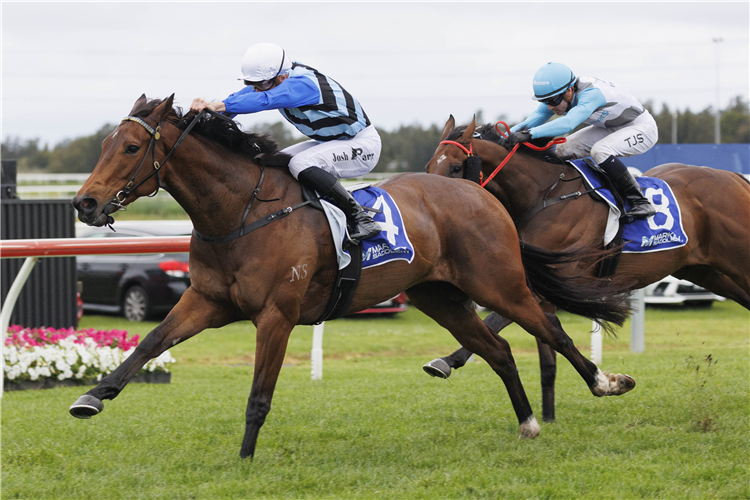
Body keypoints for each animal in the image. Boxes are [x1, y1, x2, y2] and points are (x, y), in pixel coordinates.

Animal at [67, 95, 636, 458]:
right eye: (105, 144)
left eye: (131, 148)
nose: (85, 203)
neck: (239, 212)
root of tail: (481, 194)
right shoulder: (206, 301)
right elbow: (149, 344)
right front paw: (91, 397)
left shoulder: (276, 315)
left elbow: (258, 394)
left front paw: (245, 459)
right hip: (440, 296)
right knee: (497, 350)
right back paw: (528, 422)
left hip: (498, 283)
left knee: (549, 327)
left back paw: (607, 381)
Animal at [426, 116, 748, 422]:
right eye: (429, 166)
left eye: (456, 167)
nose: (438, 203)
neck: (544, 195)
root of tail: (734, 178)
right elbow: (545, 358)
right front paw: (549, 417)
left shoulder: (550, 282)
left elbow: (495, 320)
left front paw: (444, 362)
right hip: (708, 272)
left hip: (735, 259)